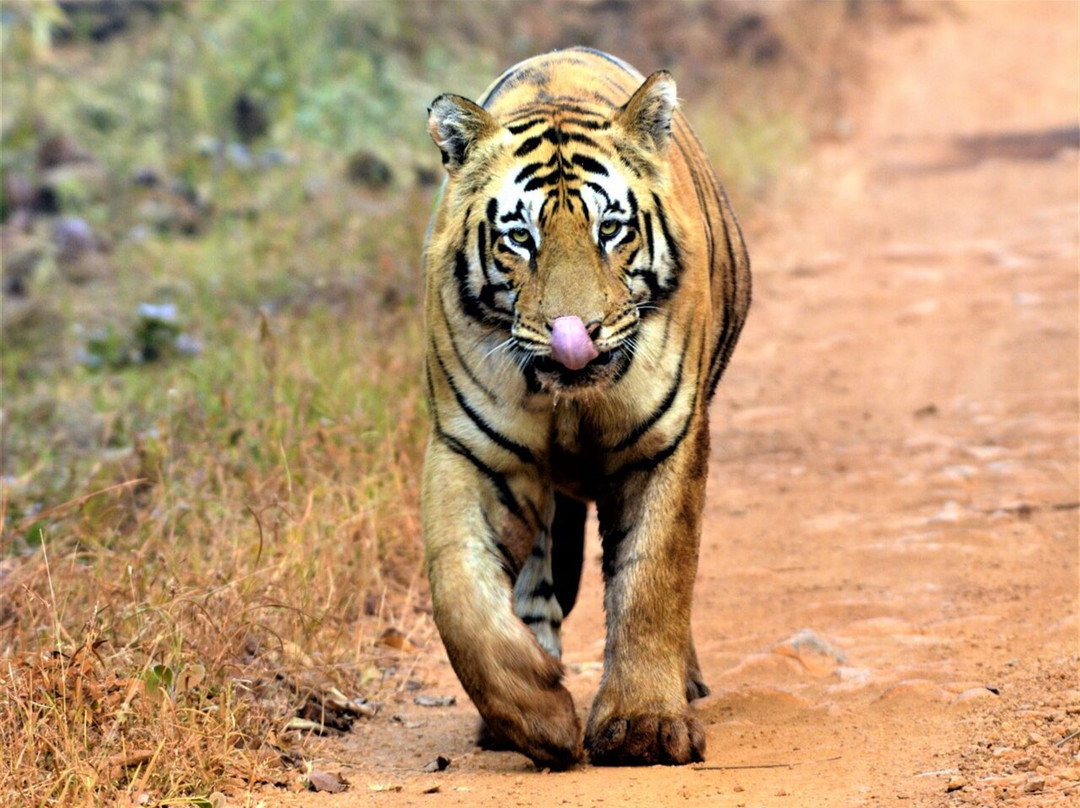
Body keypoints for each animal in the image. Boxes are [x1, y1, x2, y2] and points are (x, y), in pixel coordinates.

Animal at [421, 47, 751, 769]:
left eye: (611, 230)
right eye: (520, 238)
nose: (579, 332)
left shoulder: (667, 440)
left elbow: (654, 578)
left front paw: (643, 726)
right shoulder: (471, 448)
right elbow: (459, 590)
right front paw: (537, 713)